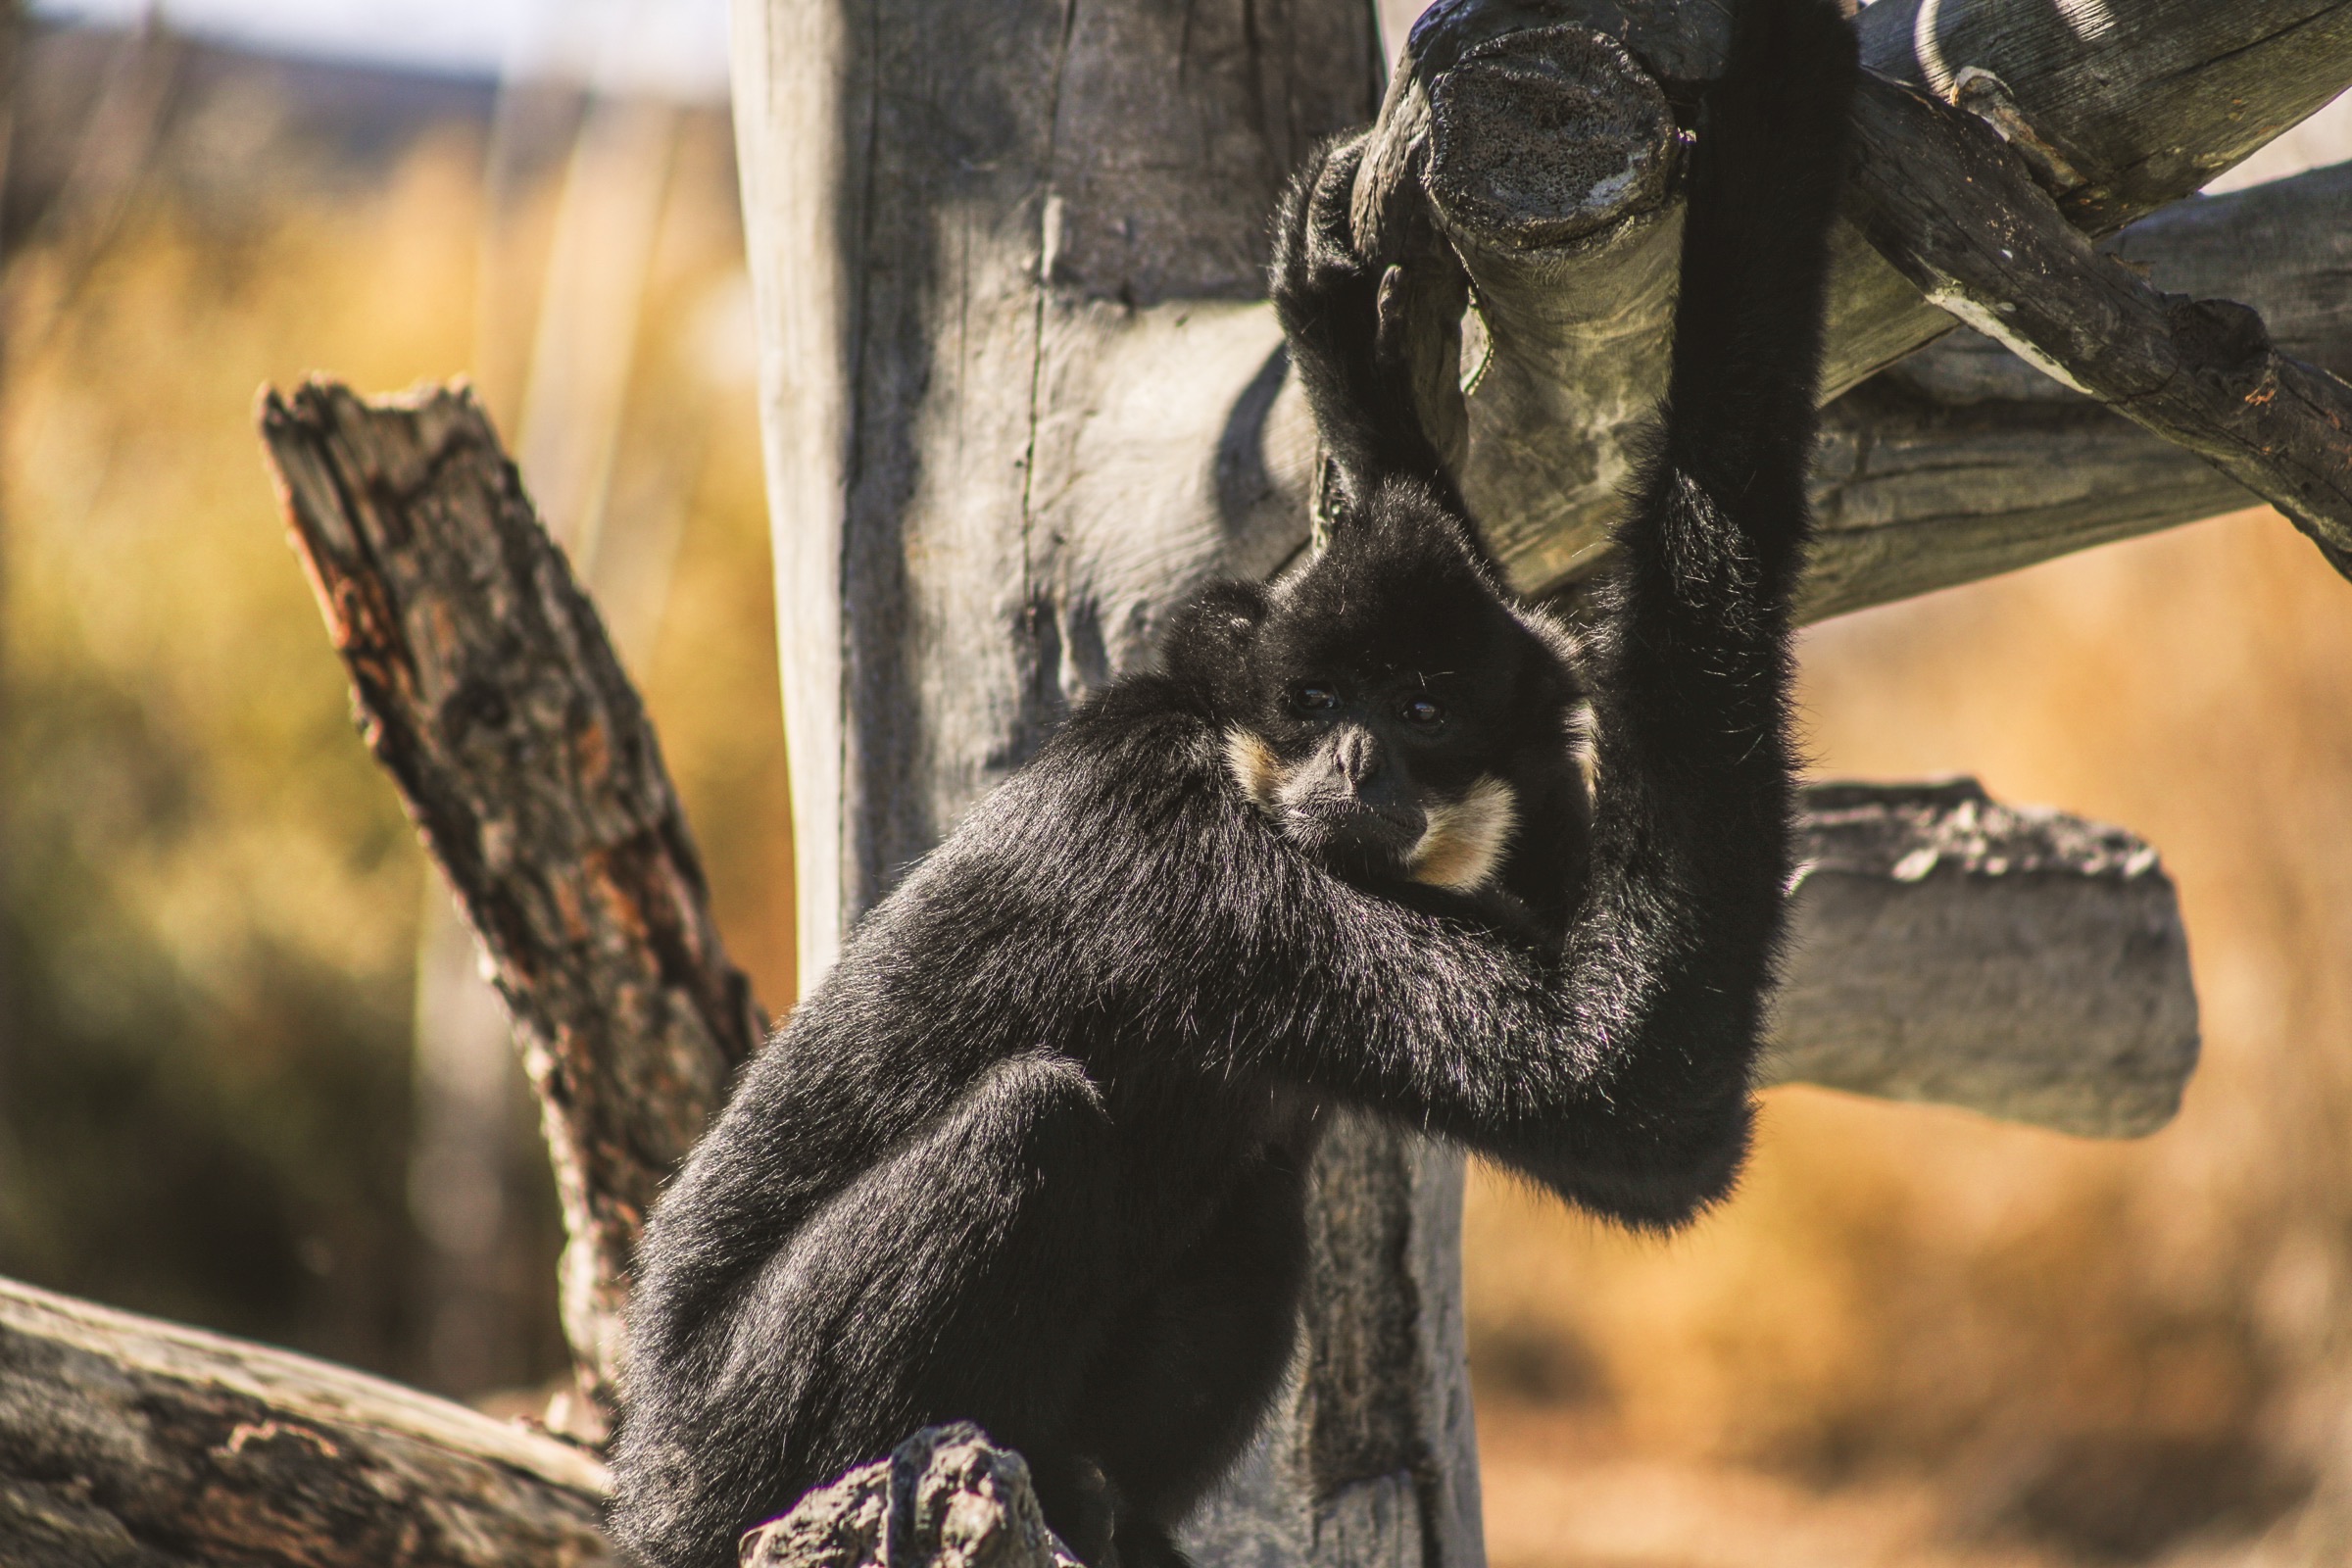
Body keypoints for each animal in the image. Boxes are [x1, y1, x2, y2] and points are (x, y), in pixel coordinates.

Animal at [609, 3, 1858, 1565]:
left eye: (1420, 706)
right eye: (1317, 702)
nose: (1358, 757)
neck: (1239, 768)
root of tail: (649, 1467)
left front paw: (1352, 364)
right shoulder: (1184, 857)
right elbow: (1632, 1083)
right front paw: (1787, 97)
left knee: (1259, 1188)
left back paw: (1101, 1498)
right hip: (749, 1424)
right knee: (1032, 1121)